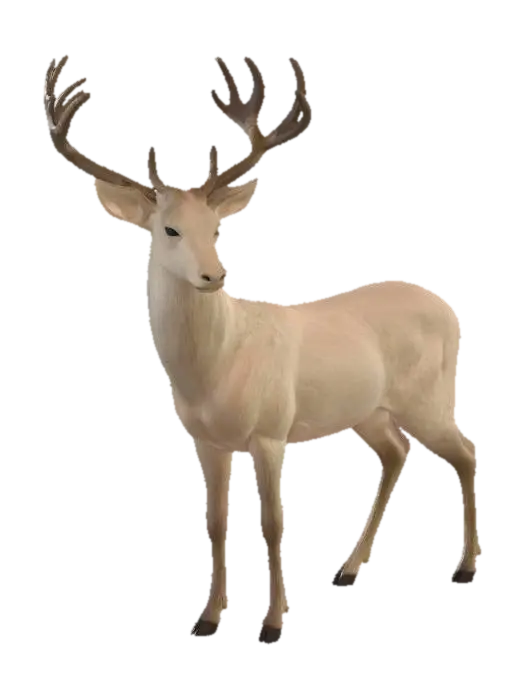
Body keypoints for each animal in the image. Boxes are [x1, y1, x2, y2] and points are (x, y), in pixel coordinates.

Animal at [42, 51, 481, 645]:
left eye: (218, 228)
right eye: (170, 229)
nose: (215, 274)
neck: (216, 370)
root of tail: (450, 306)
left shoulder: (273, 429)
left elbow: (272, 526)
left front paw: (273, 624)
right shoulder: (206, 439)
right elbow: (217, 524)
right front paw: (208, 618)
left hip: (430, 393)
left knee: (466, 453)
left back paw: (466, 571)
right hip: (368, 409)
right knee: (396, 455)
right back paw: (349, 570)